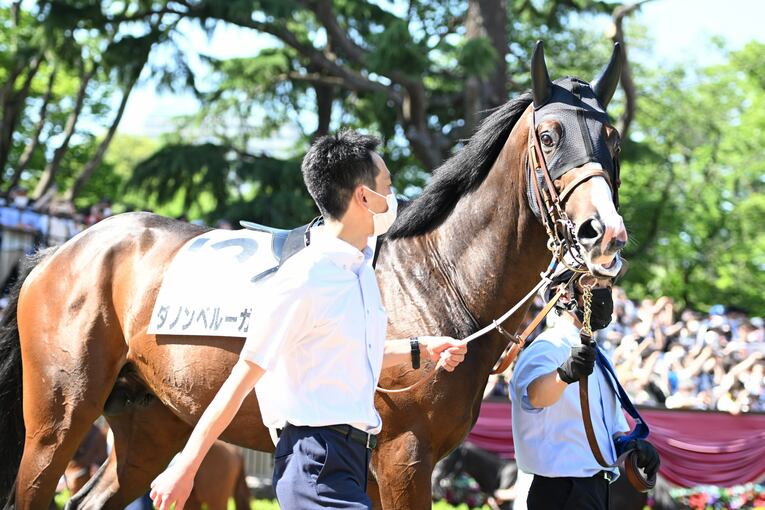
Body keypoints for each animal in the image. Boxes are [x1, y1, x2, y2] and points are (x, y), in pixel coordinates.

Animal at [0, 41, 628, 509]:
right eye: (548, 136)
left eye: (613, 139)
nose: (605, 235)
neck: (436, 280)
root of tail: (59, 252)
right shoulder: (404, 458)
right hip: (57, 422)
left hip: (150, 424)